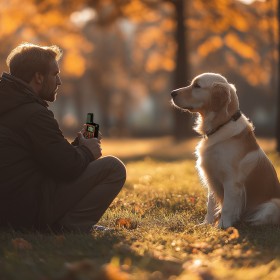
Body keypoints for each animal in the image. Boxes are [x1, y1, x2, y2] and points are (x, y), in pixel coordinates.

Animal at [170, 73, 280, 229]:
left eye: (197, 86)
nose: (172, 93)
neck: (221, 125)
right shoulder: (211, 178)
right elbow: (210, 205)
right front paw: (206, 224)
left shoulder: (231, 181)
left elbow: (227, 206)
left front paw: (222, 226)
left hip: (273, 205)